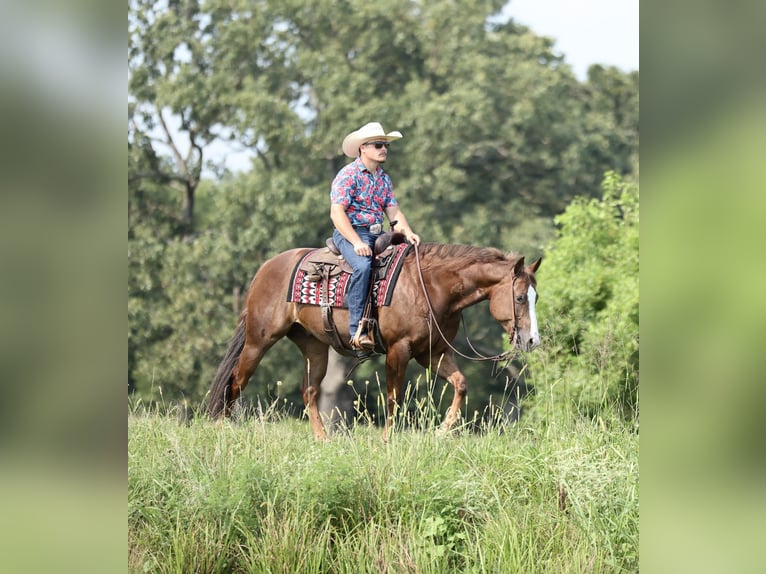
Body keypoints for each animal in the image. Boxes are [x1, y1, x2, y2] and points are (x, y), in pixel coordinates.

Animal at [206, 242, 541, 440]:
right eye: (520, 297)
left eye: (535, 296)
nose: (531, 340)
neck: (431, 287)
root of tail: (266, 267)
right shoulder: (399, 349)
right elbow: (394, 397)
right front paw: (387, 440)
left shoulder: (433, 352)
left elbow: (460, 384)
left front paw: (442, 432)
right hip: (259, 339)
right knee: (237, 379)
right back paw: (221, 428)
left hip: (314, 346)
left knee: (309, 390)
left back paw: (323, 439)